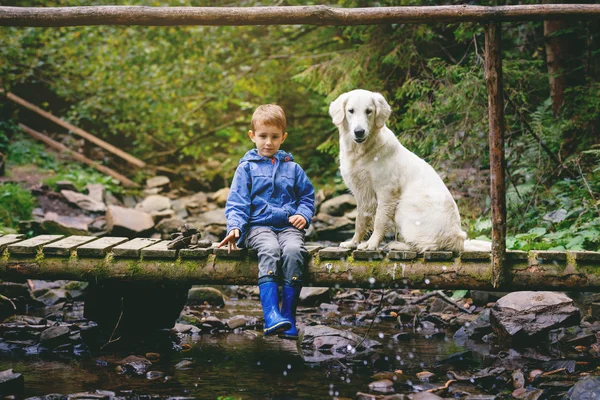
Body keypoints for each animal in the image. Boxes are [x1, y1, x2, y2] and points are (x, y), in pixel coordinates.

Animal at [330, 90, 490, 253]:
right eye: (351, 111)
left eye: (369, 111)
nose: (359, 132)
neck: (361, 152)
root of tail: (459, 239)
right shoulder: (362, 193)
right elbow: (360, 220)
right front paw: (353, 242)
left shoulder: (387, 190)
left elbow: (380, 220)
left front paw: (372, 244)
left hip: (404, 206)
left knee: (426, 245)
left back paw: (396, 244)